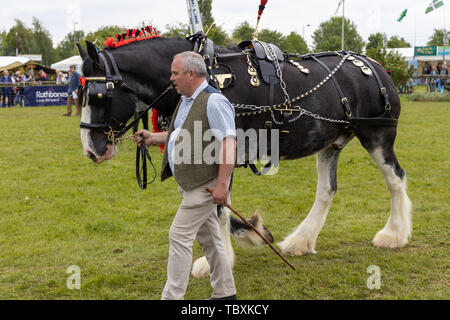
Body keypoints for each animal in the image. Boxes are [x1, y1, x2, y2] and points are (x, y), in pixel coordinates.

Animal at [76, 35, 412, 278]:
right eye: (81, 94)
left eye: (99, 96)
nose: (91, 150)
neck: (208, 77)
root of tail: (375, 65)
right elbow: (216, 207)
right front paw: (254, 232)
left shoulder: (221, 150)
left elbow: (219, 209)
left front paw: (219, 259)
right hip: (331, 142)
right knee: (327, 190)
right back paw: (301, 241)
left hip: (377, 136)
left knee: (396, 179)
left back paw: (394, 234)